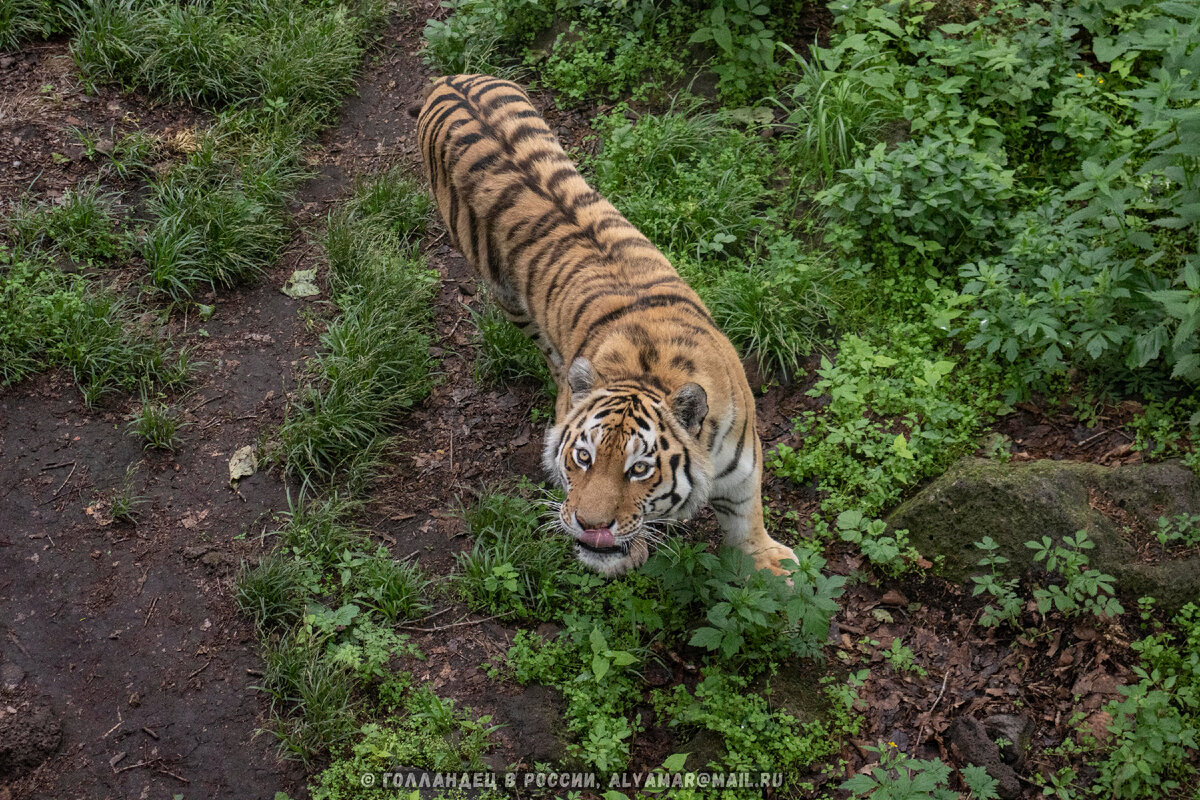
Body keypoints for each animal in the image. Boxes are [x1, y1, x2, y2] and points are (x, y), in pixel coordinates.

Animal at [412, 73, 796, 575]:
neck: (649, 371)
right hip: (507, 296)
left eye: (640, 470)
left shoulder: (743, 464)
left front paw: (771, 566)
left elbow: (747, 517)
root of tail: (449, 79)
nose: (591, 526)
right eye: (583, 457)